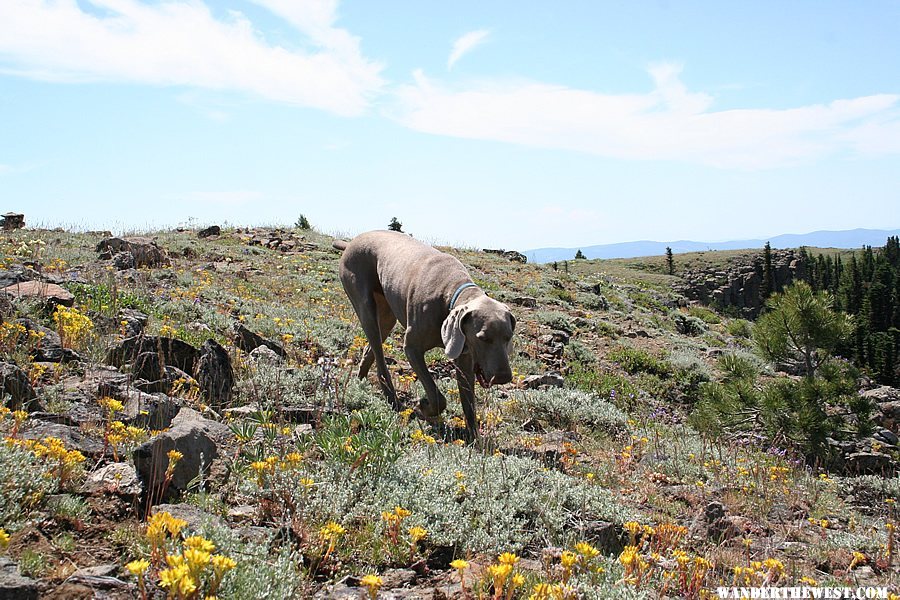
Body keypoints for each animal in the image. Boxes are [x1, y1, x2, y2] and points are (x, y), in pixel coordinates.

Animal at [332, 230, 516, 436]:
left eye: (508, 337)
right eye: (483, 338)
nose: (503, 377)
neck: (450, 291)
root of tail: (351, 243)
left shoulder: (464, 357)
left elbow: (469, 403)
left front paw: (475, 438)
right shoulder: (412, 348)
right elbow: (437, 396)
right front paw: (423, 406)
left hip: (387, 314)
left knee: (370, 348)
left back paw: (361, 380)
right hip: (363, 301)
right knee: (379, 356)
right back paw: (393, 399)